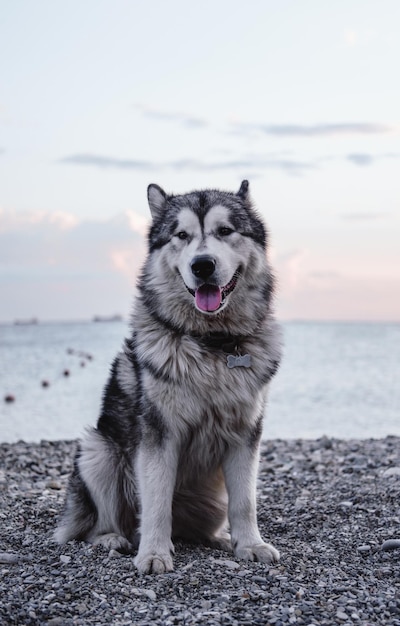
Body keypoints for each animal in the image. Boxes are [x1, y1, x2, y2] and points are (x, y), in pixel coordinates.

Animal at [55, 179, 282, 572]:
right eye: (181, 235)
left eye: (225, 231)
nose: (202, 265)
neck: (211, 343)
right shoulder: (159, 433)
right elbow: (157, 500)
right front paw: (154, 553)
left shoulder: (245, 432)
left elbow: (245, 501)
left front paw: (251, 544)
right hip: (98, 451)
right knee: (101, 522)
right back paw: (112, 538)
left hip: (210, 501)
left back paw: (221, 538)